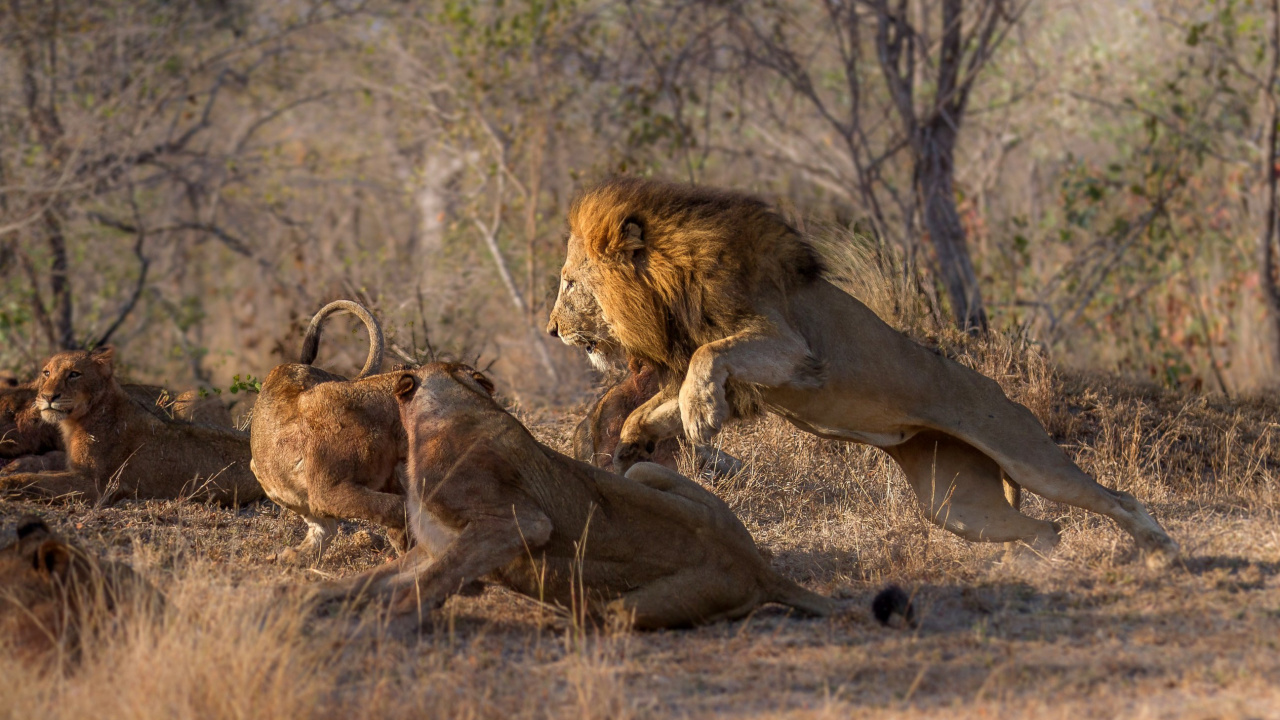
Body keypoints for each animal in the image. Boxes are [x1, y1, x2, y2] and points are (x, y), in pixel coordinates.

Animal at [0, 347, 263, 504]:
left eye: (74, 374)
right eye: (46, 373)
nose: (47, 396)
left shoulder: (98, 486)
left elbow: (36, 480)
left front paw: (5, 482)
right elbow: (42, 473)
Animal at [250, 300, 410, 563]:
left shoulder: (388, 479)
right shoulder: (327, 490)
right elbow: (397, 507)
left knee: (325, 527)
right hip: (271, 479)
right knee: (325, 526)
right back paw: (293, 556)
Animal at [310, 363, 833, 630]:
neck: (453, 405)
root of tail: (758, 569)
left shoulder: (514, 523)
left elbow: (428, 584)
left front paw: (384, 627)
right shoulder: (437, 543)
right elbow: (369, 579)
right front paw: (307, 599)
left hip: (627, 607)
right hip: (643, 469)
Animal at [546, 177, 1179, 564]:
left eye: (569, 283)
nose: (550, 330)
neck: (668, 287)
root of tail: (994, 388)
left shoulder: (790, 348)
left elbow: (706, 361)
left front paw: (702, 418)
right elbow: (657, 408)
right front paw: (640, 444)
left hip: (1026, 456)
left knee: (1114, 497)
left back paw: (1159, 549)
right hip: (957, 507)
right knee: (1046, 527)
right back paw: (1031, 561)